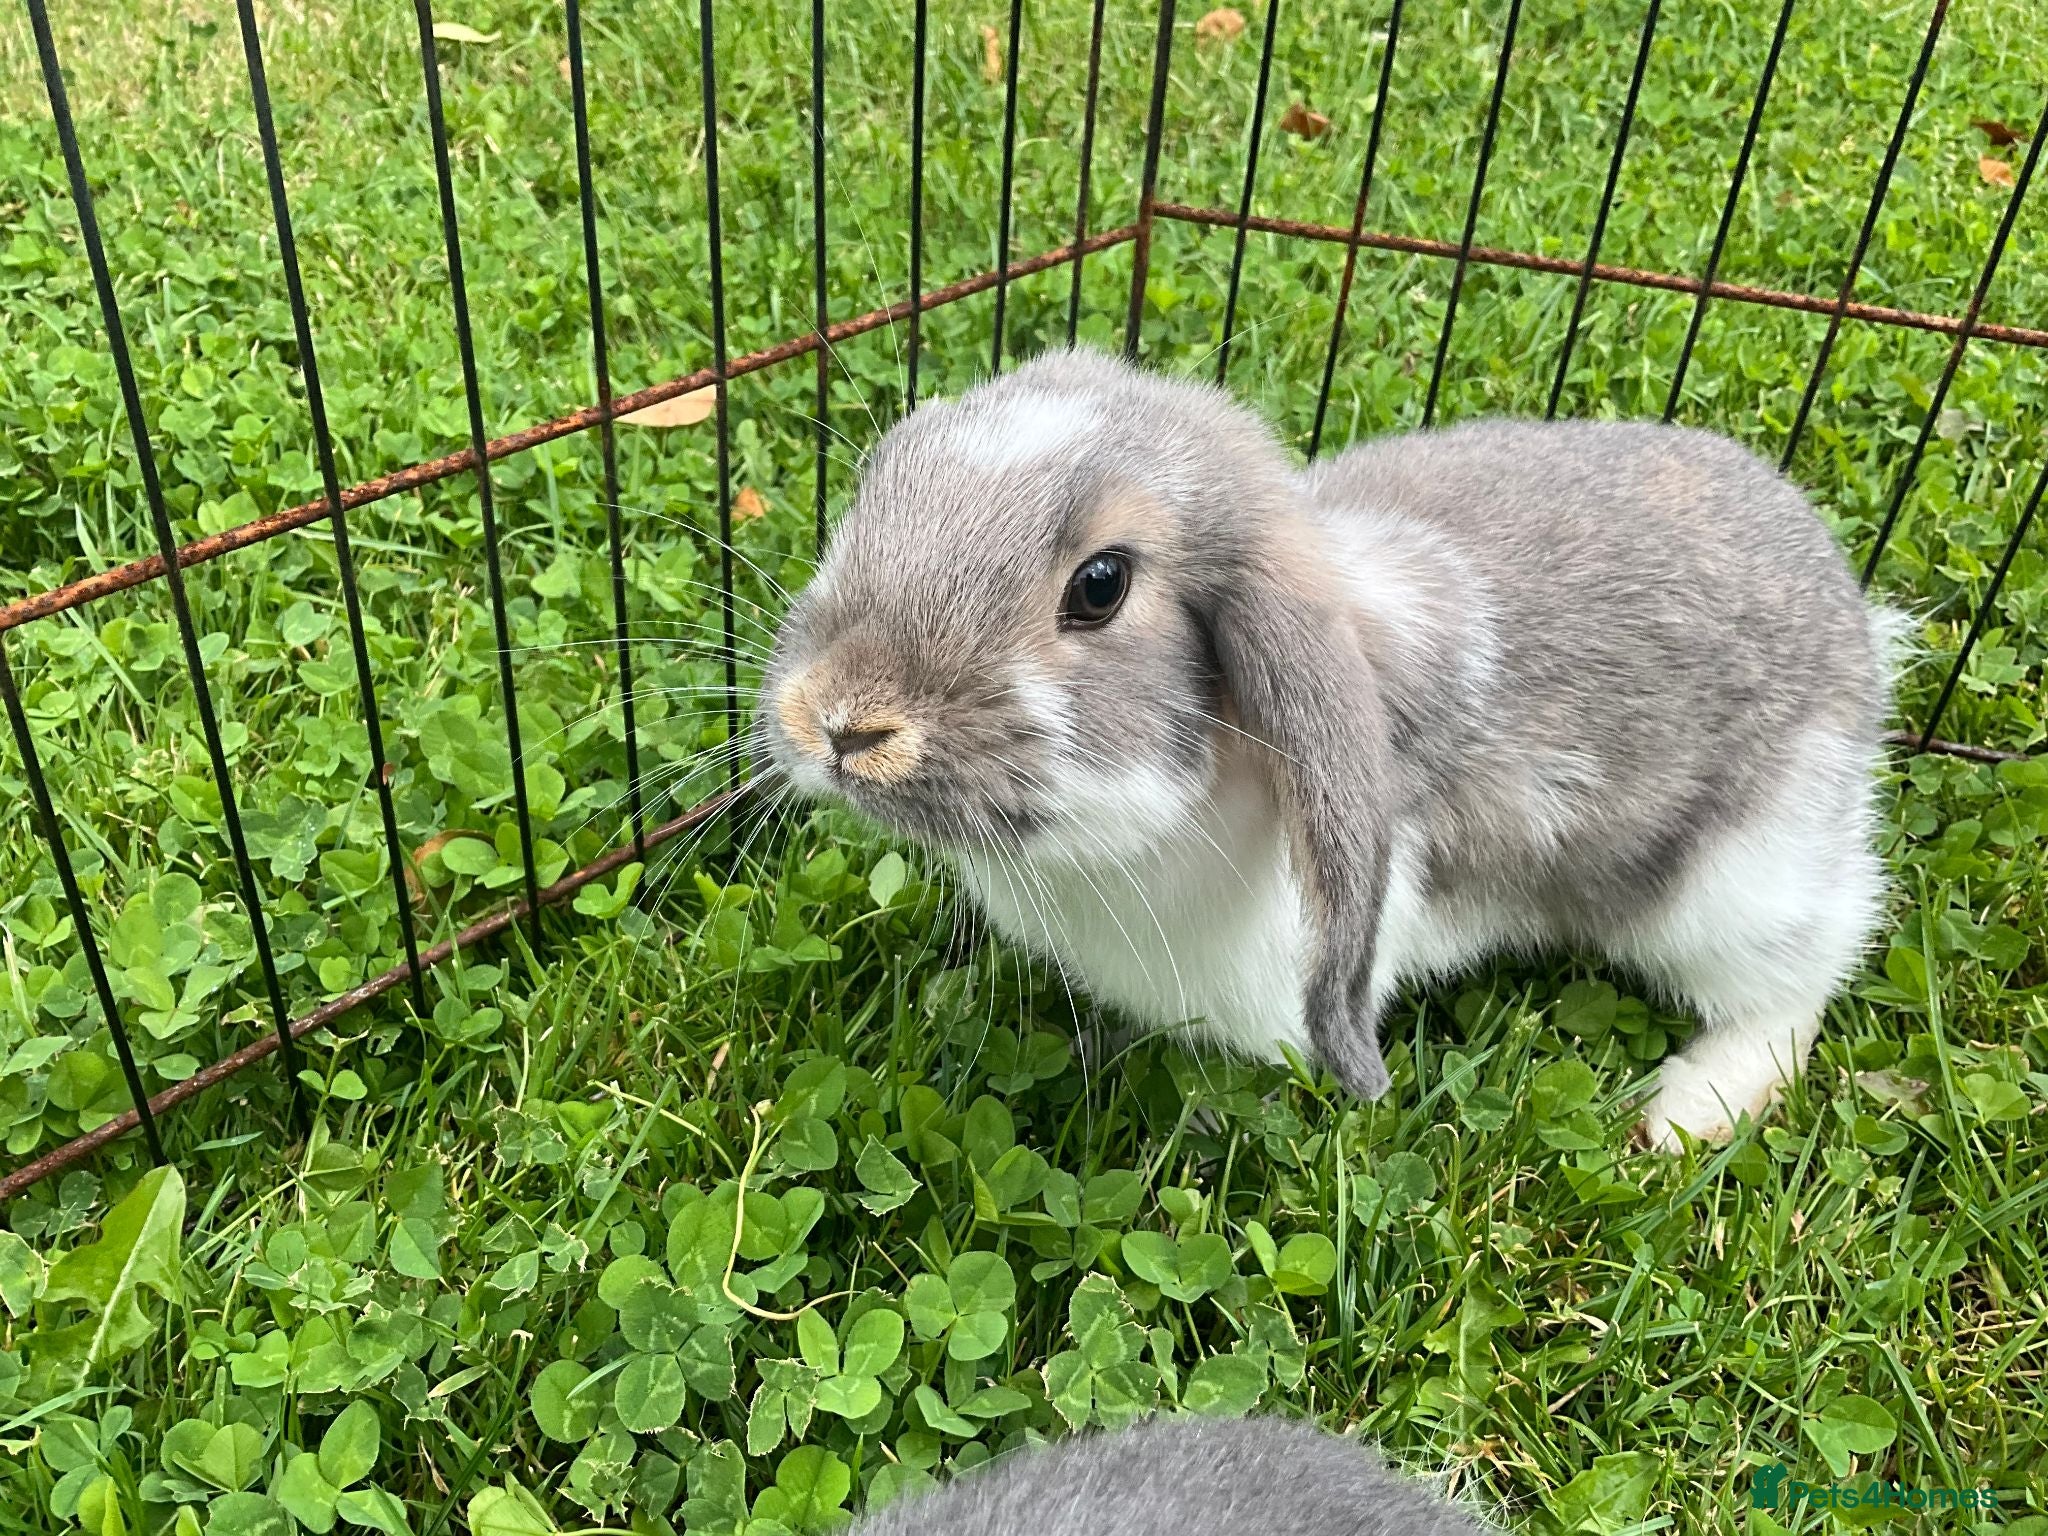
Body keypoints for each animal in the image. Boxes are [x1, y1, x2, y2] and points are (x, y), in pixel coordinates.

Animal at [756, 347, 1899, 1149]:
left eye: (1101, 584)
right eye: (880, 483)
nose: (841, 722)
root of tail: (1852, 611)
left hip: (1740, 884)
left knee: (1801, 980)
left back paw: (1687, 1111)